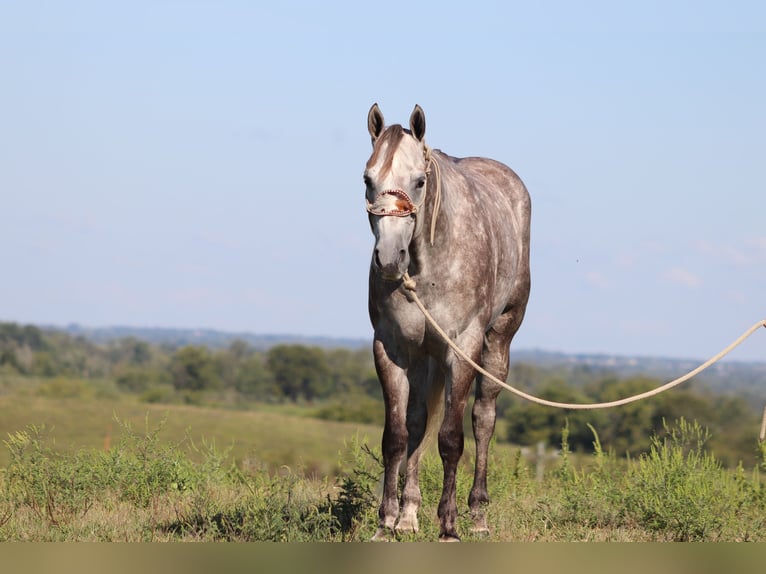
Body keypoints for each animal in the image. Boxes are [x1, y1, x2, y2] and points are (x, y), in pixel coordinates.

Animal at [364, 104, 532, 544]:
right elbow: (397, 437)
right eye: (368, 179)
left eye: (419, 181)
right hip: (425, 358)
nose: (389, 259)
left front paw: (449, 526)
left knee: (483, 419)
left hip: (496, 344)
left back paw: (477, 514)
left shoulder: (462, 349)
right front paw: (387, 522)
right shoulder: (391, 350)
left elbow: (451, 440)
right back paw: (409, 514)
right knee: (418, 421)